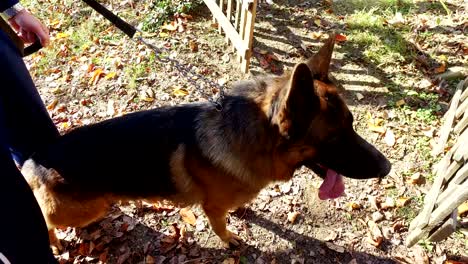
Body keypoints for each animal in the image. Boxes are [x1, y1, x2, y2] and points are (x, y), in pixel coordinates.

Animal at [20, 34, 390, 251]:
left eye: (352, 125)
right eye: (334, 137)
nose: (387, 168)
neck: (252, 139)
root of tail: (34, 160)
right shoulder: (212, 208)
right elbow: (220, 224)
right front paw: (229, 239)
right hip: (83, 209)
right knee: (46, 220)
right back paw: (53, 242)